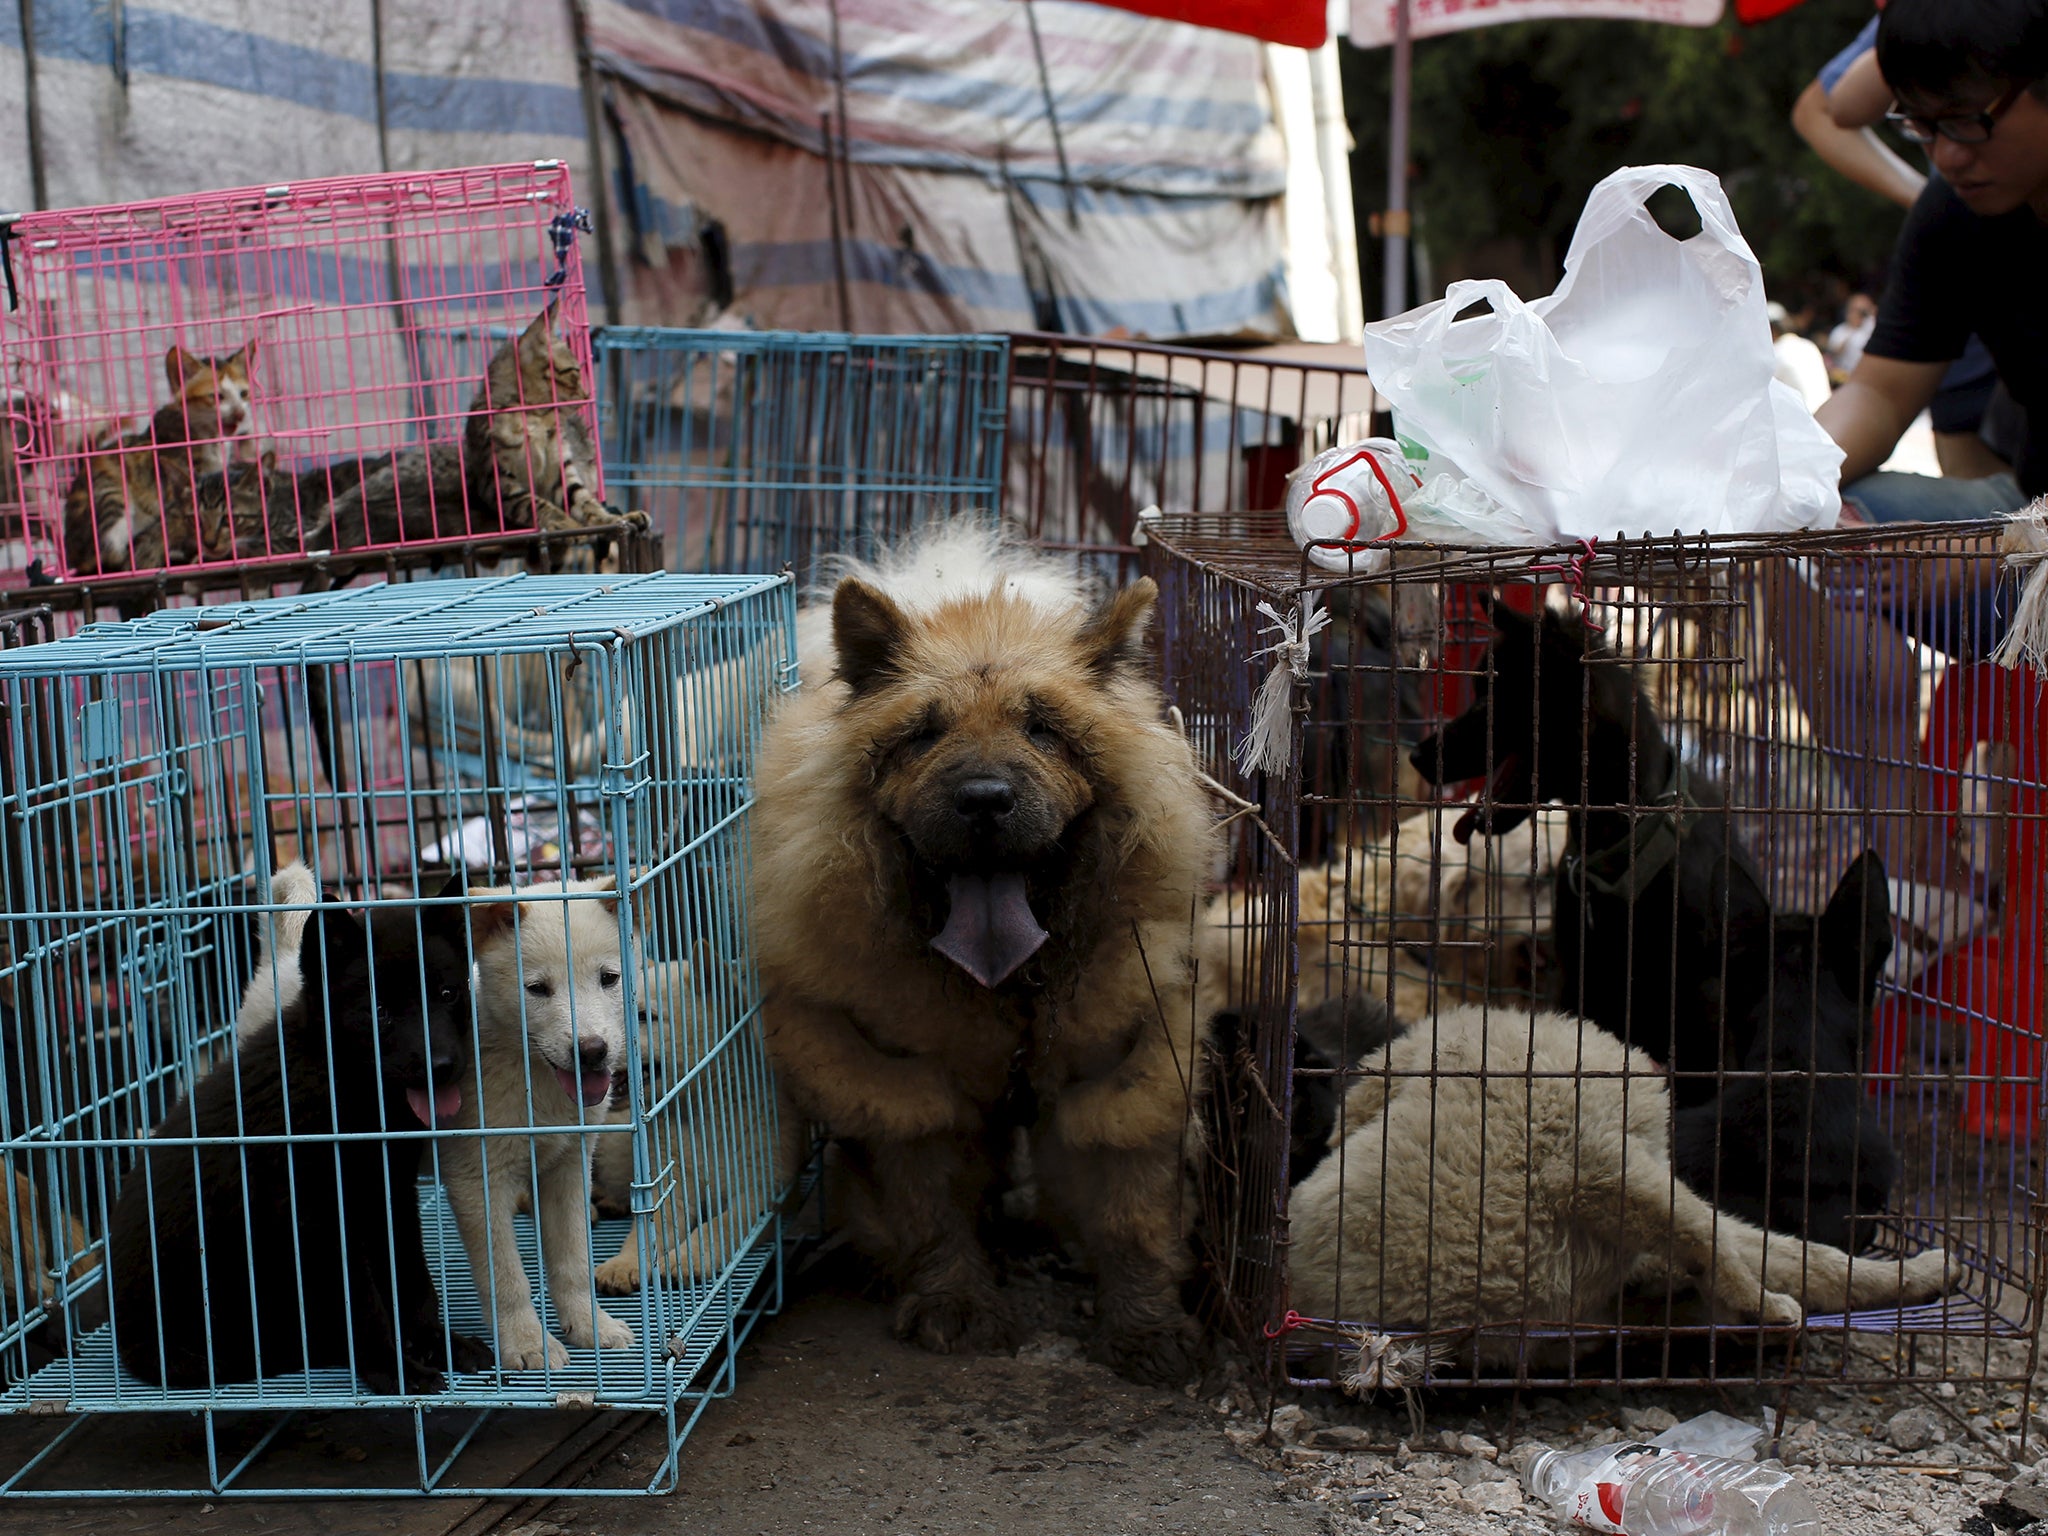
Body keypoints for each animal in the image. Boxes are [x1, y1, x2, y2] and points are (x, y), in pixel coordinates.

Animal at [110, 901, 497, 1392]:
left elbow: (413, 1281)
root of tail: (133, 1345)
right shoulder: (319, 1225)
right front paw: (397, 1371)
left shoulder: (391, 1196)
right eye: (379, 1010)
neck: (338, 1086)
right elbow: (364, 1307)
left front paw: (438, 1342)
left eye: (447, 994)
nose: (441, 1067)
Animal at [761, 524, 1220, 1392]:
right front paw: (957, 1305)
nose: (982, 798)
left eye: (1043, 730)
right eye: (924, 734)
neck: (1007, 989)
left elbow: (1134, 1214)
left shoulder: (1120, 1066)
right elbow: (931, 1208)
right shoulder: (904, 1080)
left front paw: (1148, 1330)